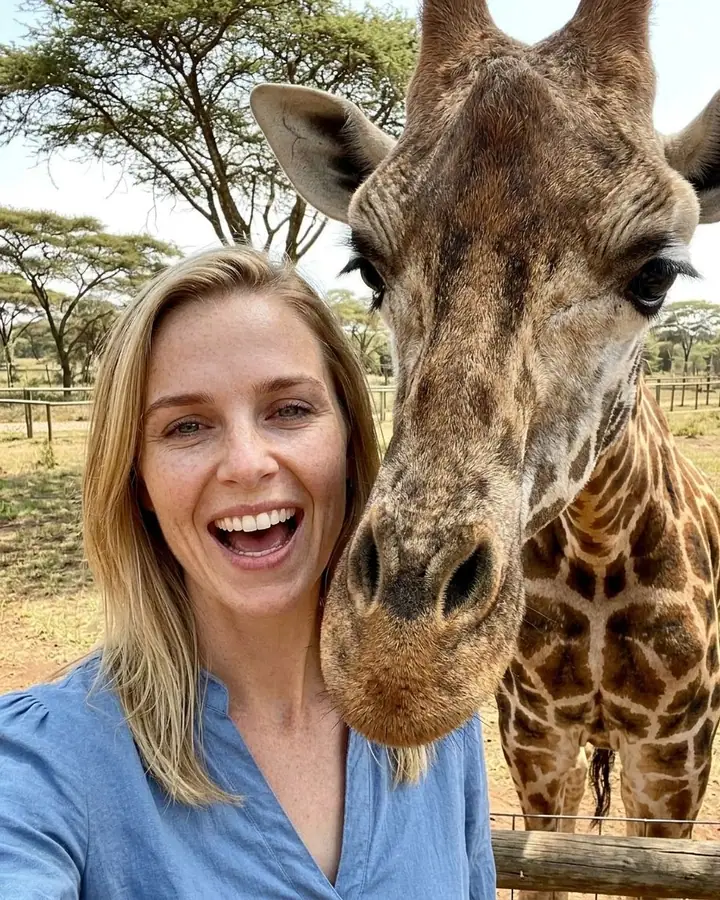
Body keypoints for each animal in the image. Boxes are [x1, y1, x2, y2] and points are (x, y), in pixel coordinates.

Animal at [251, 0, 720, 893]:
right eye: (367, 267)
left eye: (657, 275)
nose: (398, 665)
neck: (599, 547)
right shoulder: (536, 738)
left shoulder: (675, 754)